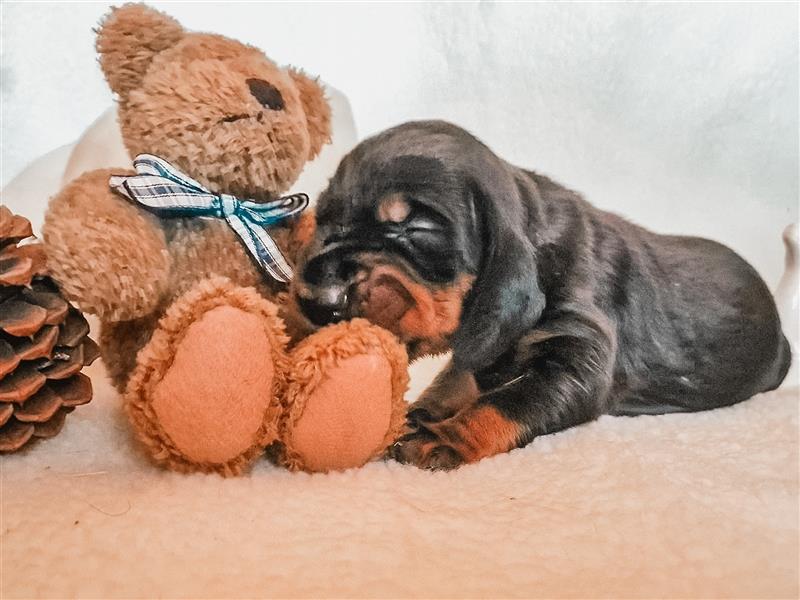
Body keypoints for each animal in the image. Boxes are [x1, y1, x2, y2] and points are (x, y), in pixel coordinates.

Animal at [290, 119, 792, 472]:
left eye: (414, 227)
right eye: (325, 220)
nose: (317, 300)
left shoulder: (578, 355)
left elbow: (507, 400)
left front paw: (442, 437)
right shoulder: (484, 346)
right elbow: (457, 377)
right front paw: (419, 413)